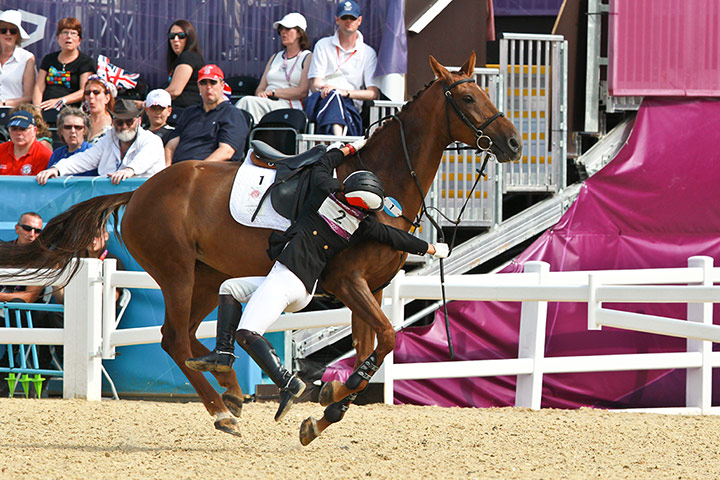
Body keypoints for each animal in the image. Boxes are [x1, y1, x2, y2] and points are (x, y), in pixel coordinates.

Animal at [0, 52, 521, 442]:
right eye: (469, 97)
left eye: (485, 93)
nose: (514, 143)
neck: (376, 186)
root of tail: (140, 189)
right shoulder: (346, 282)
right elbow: (388, 338)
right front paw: (330, 398)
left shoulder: (367, 290)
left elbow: (369, 346)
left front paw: (326, 410)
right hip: (177, 274)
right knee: (175, 338)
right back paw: (221, 408)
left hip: (207, 277)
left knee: (186, 339)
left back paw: (230, 388)